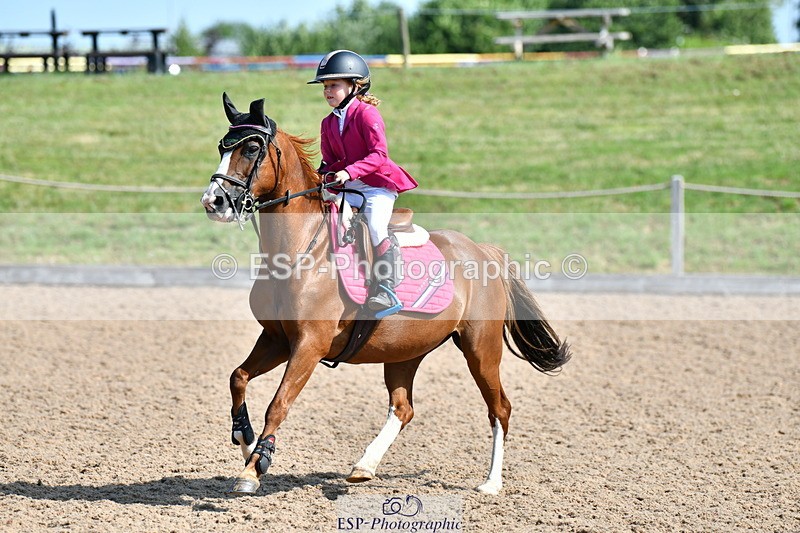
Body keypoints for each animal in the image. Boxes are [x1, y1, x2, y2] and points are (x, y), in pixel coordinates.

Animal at [200, 93, 571, 496]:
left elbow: (279, 403)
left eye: (251, 148)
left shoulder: (309, 344)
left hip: (480, 348)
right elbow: (238, 377)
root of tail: (481, 250)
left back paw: (490, 482)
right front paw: (247, 442)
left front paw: (255, 467)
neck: (300, 249)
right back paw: (364, 466)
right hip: (405, 350)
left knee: (499, 408)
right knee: (403, 408)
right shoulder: (277, 338)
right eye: (222, 146)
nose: (213, 202)